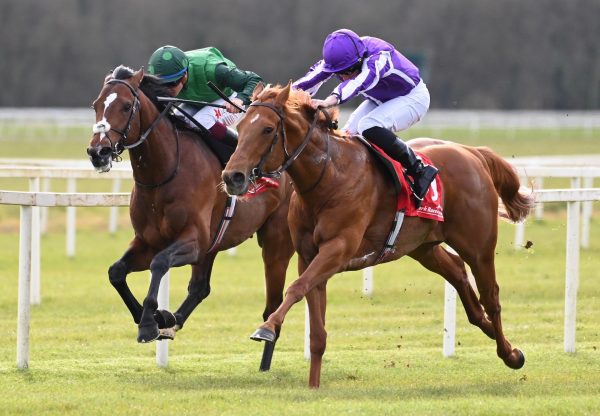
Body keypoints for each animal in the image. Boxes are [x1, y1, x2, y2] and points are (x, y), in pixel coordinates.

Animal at [86, 67, 296, 370]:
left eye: (126, 106)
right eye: (96, 105)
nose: (97, 152)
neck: (164, 172)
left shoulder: (192, 240)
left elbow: (159, 263)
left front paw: (149, 322)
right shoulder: (148, 241)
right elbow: (116, 272)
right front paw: (156, 318)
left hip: (275, 241)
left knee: (273, 303)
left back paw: (264, 362)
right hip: (214, 243)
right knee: (200, 288)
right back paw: (174, 321)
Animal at [223, 83, 532, 388]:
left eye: (267, 129)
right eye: (241, 126)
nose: (232, 177)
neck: (328, 177)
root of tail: (472, 152)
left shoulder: (338, 249)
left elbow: (296, 287)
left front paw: (267, 327)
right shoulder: (309, 256)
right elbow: (316, 328)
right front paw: (313, 385)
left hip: (478, 247)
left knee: (492, 297)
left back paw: (510, 354)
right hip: (423, 246)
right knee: (459, 274)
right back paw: (499, 338)